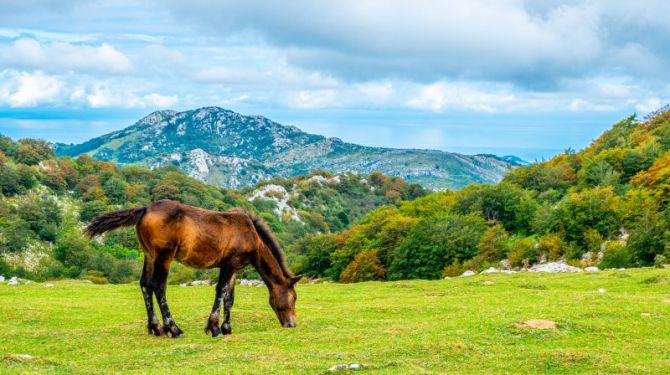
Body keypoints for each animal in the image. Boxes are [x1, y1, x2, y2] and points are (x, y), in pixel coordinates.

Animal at [85, 201, 304, 340]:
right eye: (294, 297)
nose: (292, 324)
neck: (251, 235)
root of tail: (145, 209)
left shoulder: (234, 267)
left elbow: (229, 297)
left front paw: (227, 328)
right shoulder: (229, 264)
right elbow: (221, 291)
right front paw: (214, 328)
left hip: (149, 256)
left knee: (145, 285)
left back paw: (155, 328)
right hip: (164, 256)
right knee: (158, 286)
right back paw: (174, 329)